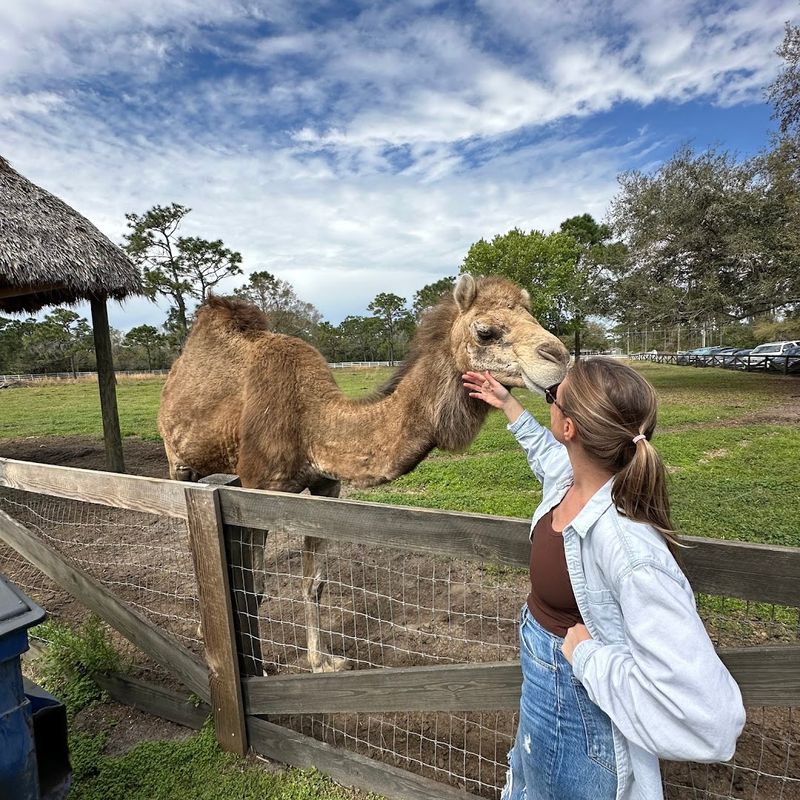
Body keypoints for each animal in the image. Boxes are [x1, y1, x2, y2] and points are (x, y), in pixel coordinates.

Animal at [158, 274, 569, 672]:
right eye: (485, 331)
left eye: (533, 317)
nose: (560, 357)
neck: (311, 422)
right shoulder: (253, 490)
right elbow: (253, 587)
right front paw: (256, 667)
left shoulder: (325, 489)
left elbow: (314, 582)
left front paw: (322, 661)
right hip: (178, 460)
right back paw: (202, 626)